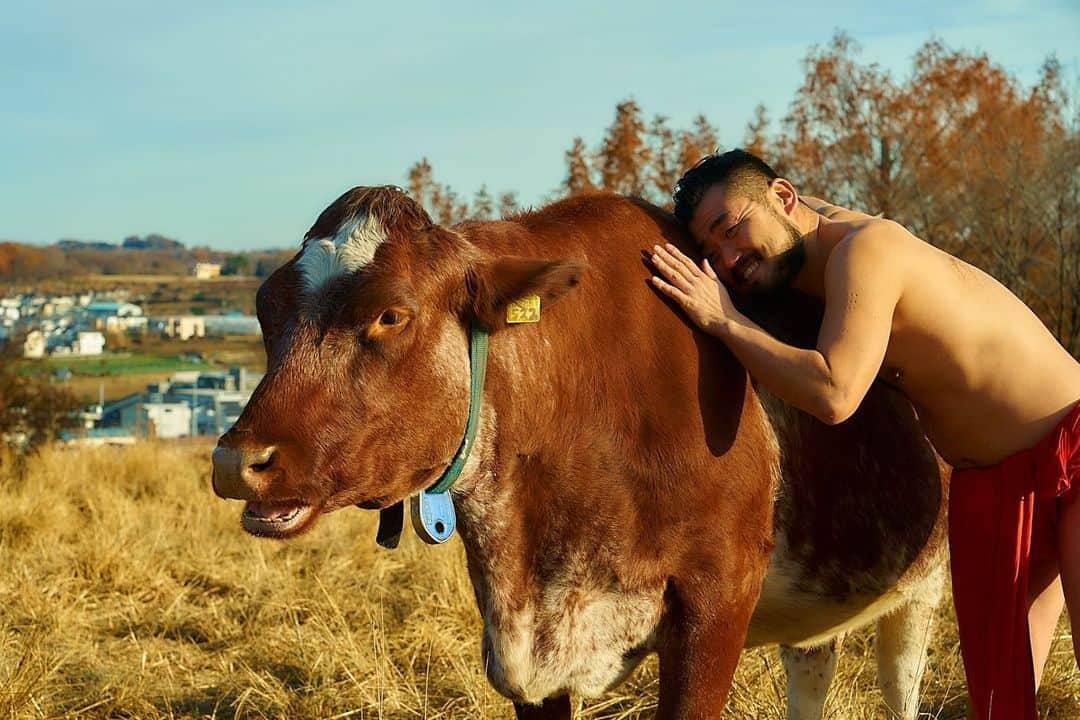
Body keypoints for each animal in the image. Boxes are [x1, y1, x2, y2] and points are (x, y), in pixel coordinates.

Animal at [210, 187, 946, 720]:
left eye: (391, 314)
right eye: (265, 309)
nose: (236, 462)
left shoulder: (719, 597)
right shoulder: (518, 644)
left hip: (921, 588)